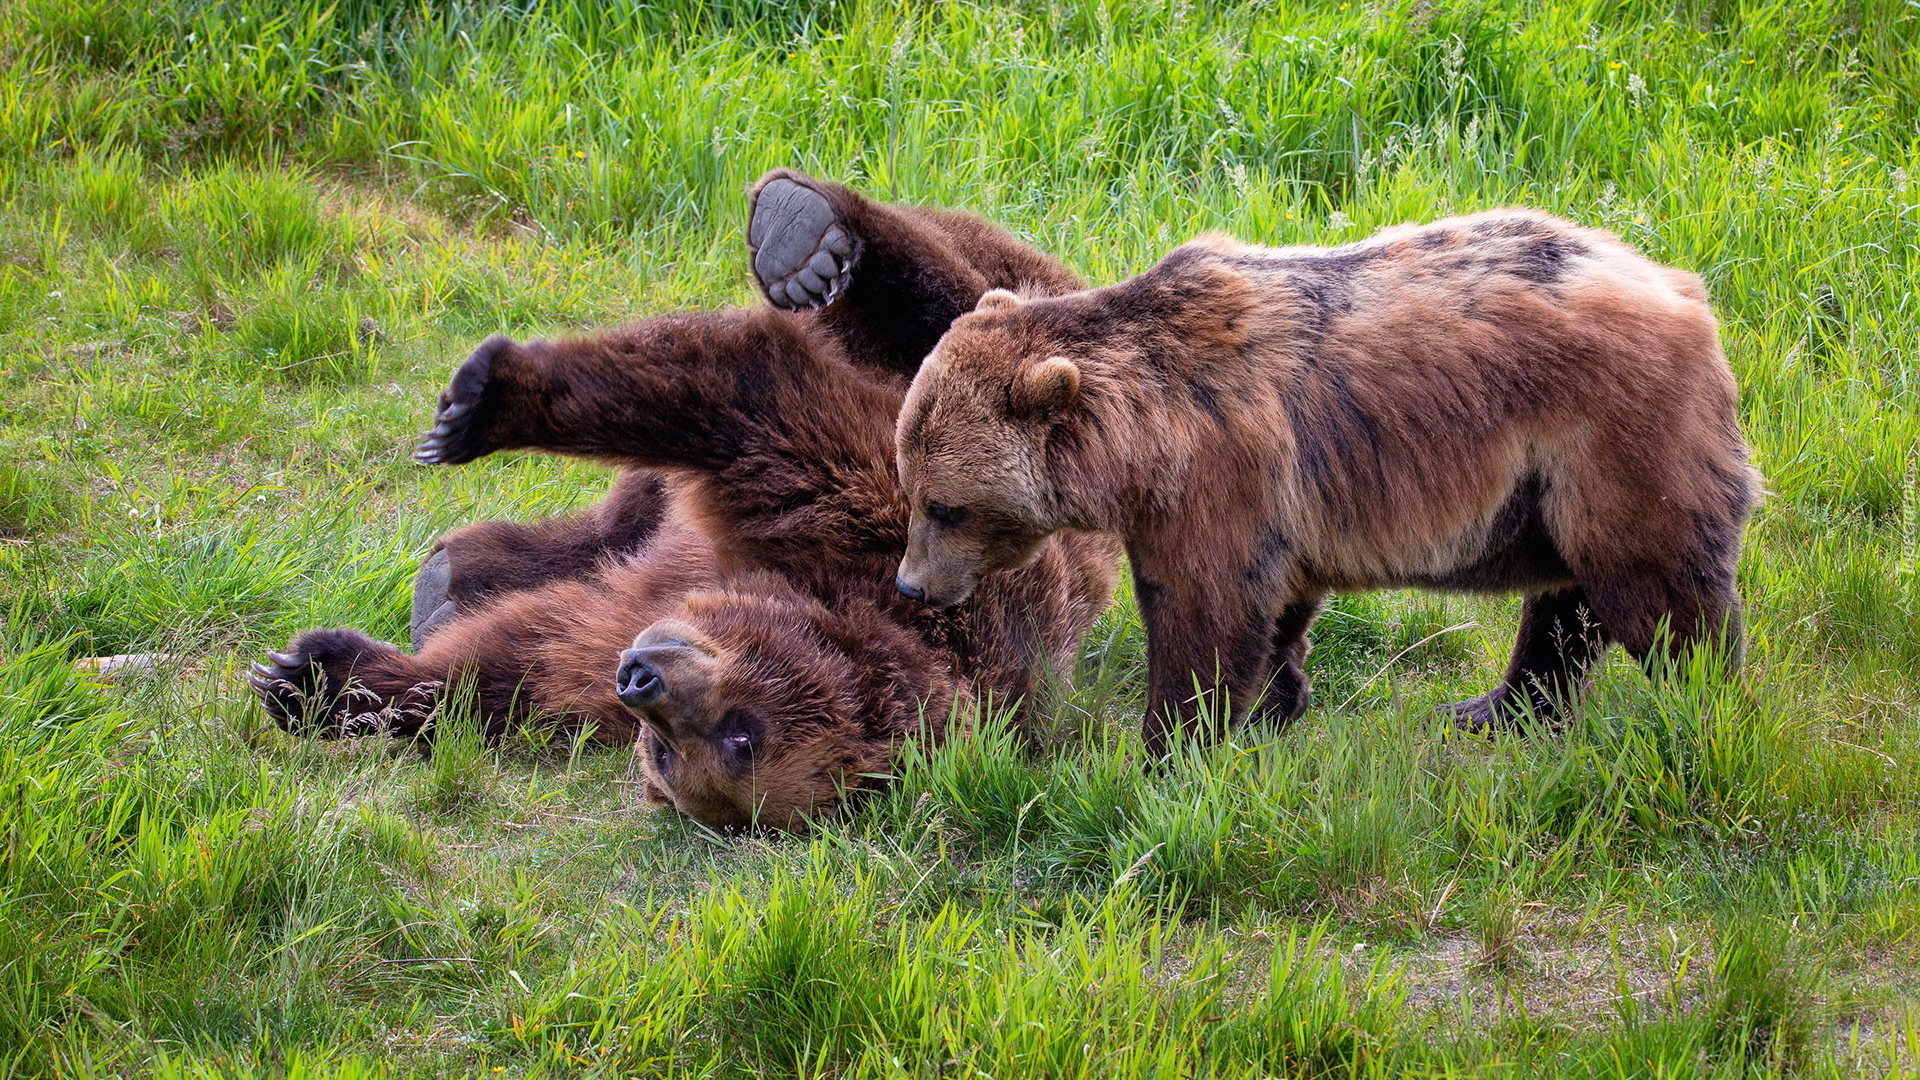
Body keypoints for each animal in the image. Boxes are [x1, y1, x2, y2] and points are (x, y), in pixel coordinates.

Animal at [245, 171, 1121, 822]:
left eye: (726, 743)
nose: (642, 681)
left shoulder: (638, 630)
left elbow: (524, 657)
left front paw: (317, 678)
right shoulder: (863, 506)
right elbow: (735, 391)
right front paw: (486, 398)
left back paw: (453, 581)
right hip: (989, 355)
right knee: (934, 298)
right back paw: (805, 232)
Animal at [890, 208, 1758, 749]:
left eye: (945, 506)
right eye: (912, 487)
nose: (910, 584)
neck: (1139, 443)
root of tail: (1687, 292)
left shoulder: (1217, 477)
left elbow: (1202, 612)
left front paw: (1169, 746)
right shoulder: (1270, 507)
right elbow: (1275, 609)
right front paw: (1273, 707)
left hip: (1610, 439)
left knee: (1656, 586)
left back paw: (1703, 700)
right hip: (1549, 485)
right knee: (1568, 597)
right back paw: (1494, 706)